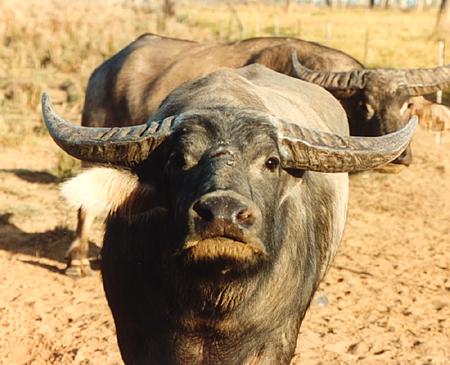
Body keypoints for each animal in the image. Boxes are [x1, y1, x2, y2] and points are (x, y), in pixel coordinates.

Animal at [41, 64, 414, 362]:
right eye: (177, 160)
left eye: (271, 162)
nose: (222, 214)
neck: (213, 303)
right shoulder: (135, 334)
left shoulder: (276, 341)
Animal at [61, 34, 448, 274]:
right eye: (367, 105)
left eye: (408, 104)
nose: (402, 157)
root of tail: (105, 69)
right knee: (84, 205)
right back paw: (77, 260)